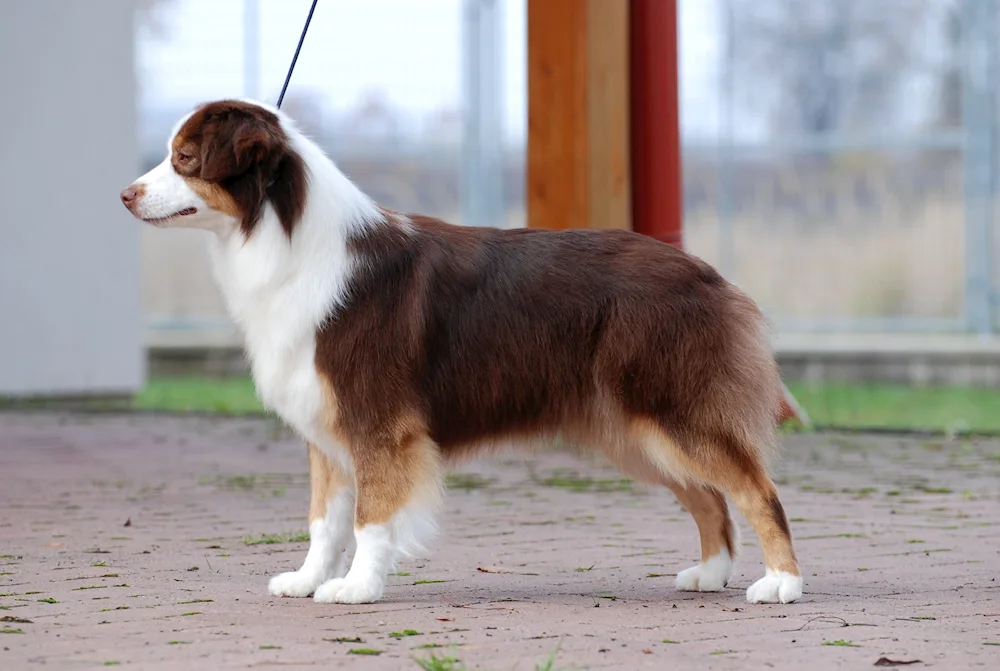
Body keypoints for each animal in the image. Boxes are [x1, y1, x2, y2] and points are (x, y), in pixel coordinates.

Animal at [119, 98, 804, 604]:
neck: (283, 239)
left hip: (672, 409)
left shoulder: (379, 423)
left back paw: (782, 584)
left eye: (184, 158)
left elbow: (371, 516)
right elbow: (324, 519)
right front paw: (309, 580)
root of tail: (709, 274)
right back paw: (710, 574)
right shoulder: (326, 428)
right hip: (635, 432)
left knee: (755, 490)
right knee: (709, 497)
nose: (125, 194)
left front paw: (357, 588)